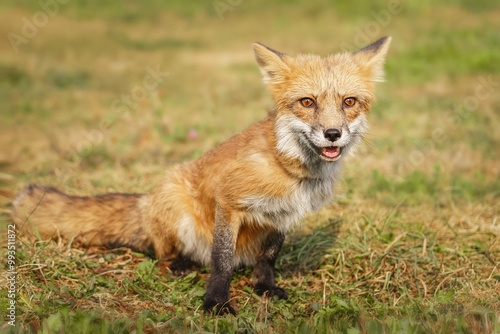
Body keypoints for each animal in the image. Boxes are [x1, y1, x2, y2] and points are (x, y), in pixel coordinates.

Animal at [11, 37, 390, 316]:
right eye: (307, 102)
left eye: (349, 102)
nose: (332, 134)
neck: (289, 169)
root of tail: (146, 202)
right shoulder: (229, 202)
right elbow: (221, 262)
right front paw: (216, 304)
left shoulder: (284, 217)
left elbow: (268, 258)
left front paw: (264, 288)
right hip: (174, 202)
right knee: (161, 256)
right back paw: (180, 266)